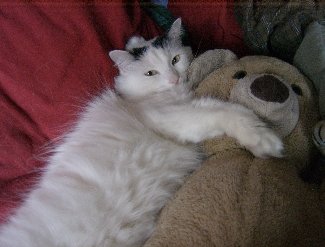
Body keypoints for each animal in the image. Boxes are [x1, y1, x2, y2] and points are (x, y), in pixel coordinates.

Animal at [0, 18, 282, 246]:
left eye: (175, 60)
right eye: (150, 73)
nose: (173, 79)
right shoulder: (177, 116)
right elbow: (231, 112)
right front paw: (265, 140)